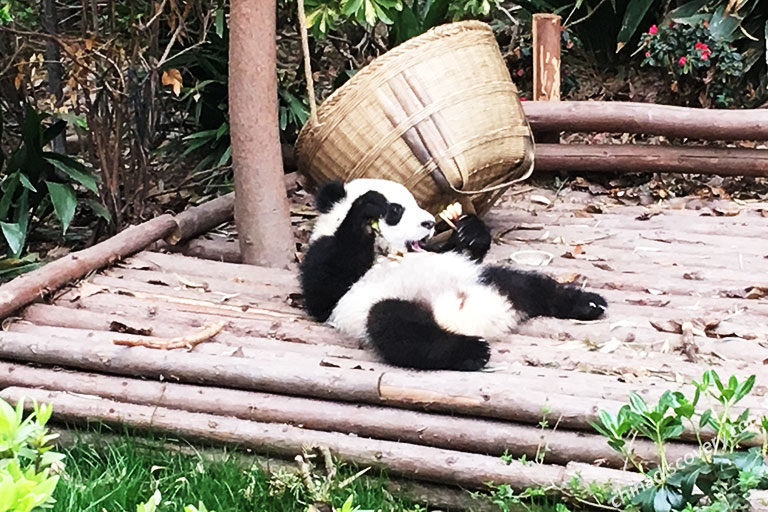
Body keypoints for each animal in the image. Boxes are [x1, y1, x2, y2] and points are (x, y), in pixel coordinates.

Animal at [300, 178, 608, 370]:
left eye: (416, 203)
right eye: (396, 210)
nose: (428, 223)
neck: (392, 254)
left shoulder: (442, 254)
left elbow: (461, 249)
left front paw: (468, 231)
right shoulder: (325, 261)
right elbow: (325, 286)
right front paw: (366, 208)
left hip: (480, 278)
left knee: (525, 284)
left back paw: (588, 303)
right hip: (377, 305)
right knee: (398, 327)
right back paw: (471, 351)